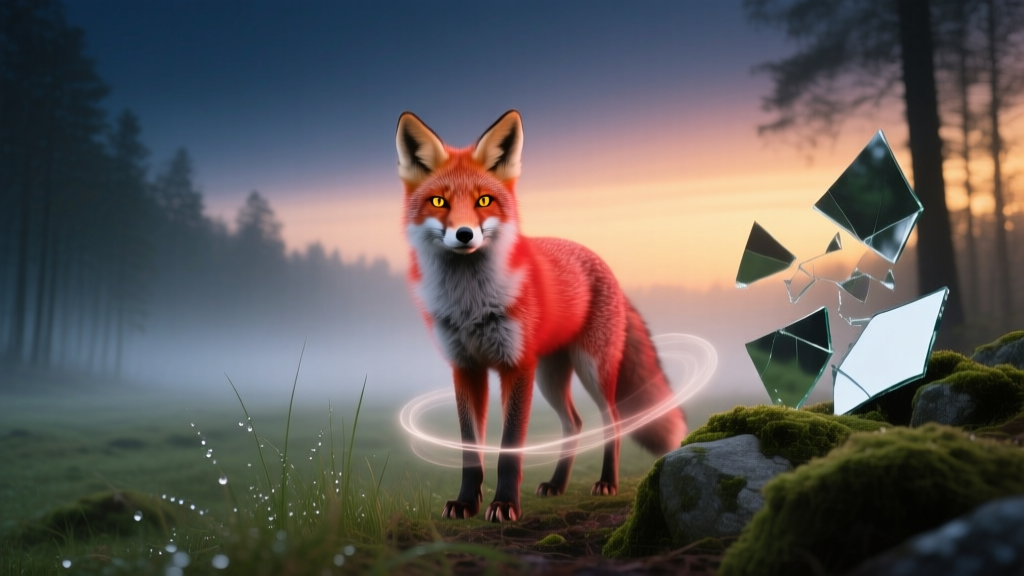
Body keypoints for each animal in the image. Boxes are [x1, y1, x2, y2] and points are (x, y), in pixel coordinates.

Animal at [396, 110, 687, 523]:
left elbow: (509, 449)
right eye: (439, 201)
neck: (470, 304)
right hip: (550, 377)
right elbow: (471, 451)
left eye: (484, 200)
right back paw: (557, 484)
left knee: (612, 421)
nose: (465, 234)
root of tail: (604, 264)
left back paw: (606, 483)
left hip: (590, 369)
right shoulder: (465, 367)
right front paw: (466, 503)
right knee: (574, 423)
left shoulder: (517, 366)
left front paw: (505, 505)